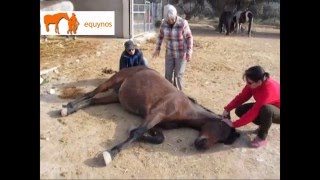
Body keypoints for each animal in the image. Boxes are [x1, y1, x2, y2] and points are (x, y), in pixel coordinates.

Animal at [60, 66, 240, 166]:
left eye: (223, 140)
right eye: (219, 126)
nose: (201, 144)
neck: (185, 108)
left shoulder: (157, 123)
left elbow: (157, 138)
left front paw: (138, 133)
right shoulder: (155, 114)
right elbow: (138, 133)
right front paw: (110, 154)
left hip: (115, 96)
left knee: (93, 100)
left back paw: (71, 109)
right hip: (110, 83)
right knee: (91, 93)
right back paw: (68, 107)